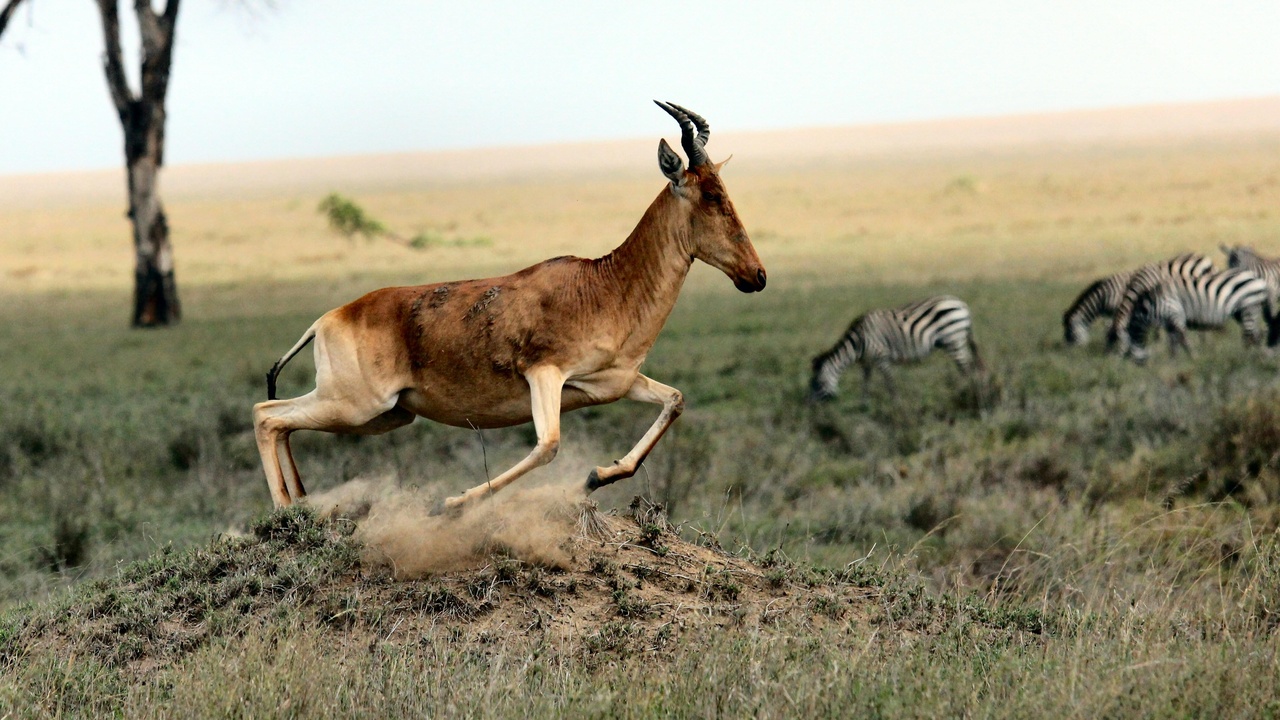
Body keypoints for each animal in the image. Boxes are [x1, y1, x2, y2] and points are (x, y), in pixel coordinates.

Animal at [252, 102, 767, 511]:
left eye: (725, 190)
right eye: (711, 195)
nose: (756, 276)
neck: (603, 284)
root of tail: (328, 319)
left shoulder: (614, 383)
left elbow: (675, 401)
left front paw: (596, 476)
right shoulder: (545, 374)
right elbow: (548, 445)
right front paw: (453, 502)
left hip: (387, 415)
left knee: (282, 422)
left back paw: (302, 503)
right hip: (357, 404)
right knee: (266, 413)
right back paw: (285, 513)